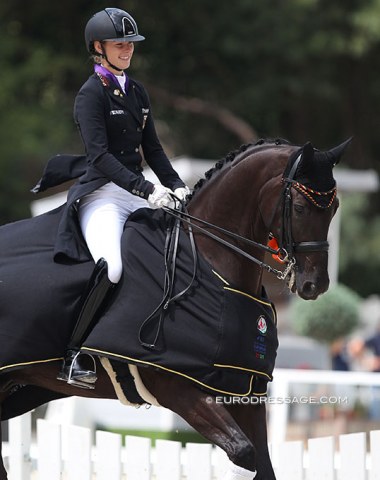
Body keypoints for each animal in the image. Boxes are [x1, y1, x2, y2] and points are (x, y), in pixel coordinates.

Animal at [0, 137, 350, 478]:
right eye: (301, 207)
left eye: (334, 208)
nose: (315, 284)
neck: (209, 261)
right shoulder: (178, 388)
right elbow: (243, 453)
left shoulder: (247, 391)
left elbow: (263, 465)